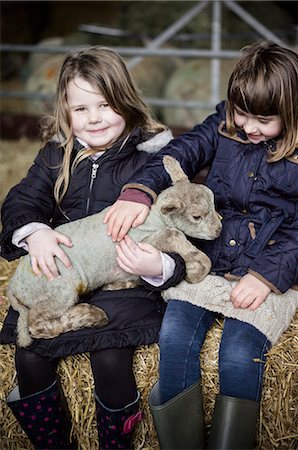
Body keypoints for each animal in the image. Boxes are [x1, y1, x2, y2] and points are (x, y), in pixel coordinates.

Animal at [7, 156, 222, 348]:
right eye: (196, 216)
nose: (219, 230)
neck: (156, 218)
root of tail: (13, 286)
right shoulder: (140, 242)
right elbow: (173, 234)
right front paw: (198, 271)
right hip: (56, 292)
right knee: (37, 324)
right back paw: (89, 316)